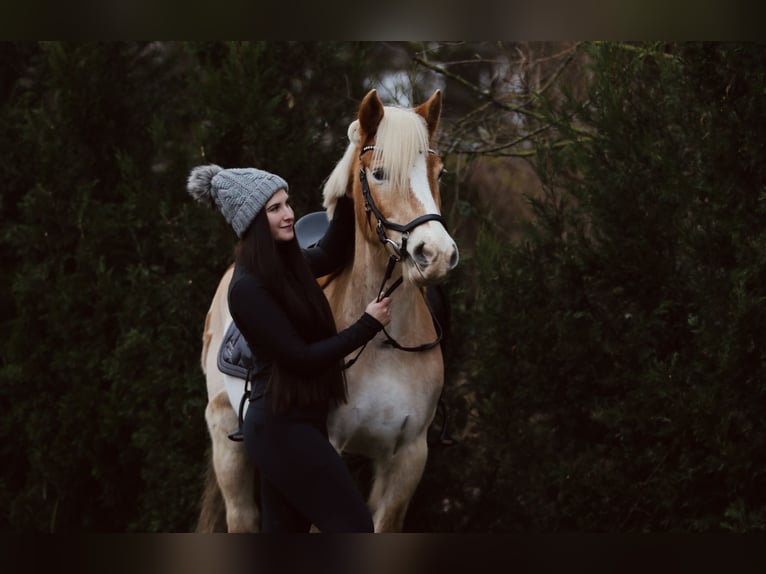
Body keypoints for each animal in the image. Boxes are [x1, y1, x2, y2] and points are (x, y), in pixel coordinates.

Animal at [198, 90, 462, 536]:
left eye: (438, 172)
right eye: (379, 173)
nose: (436, 254)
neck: (385, 346)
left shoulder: (407, 459)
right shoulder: (329, 452)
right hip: (225, 438)